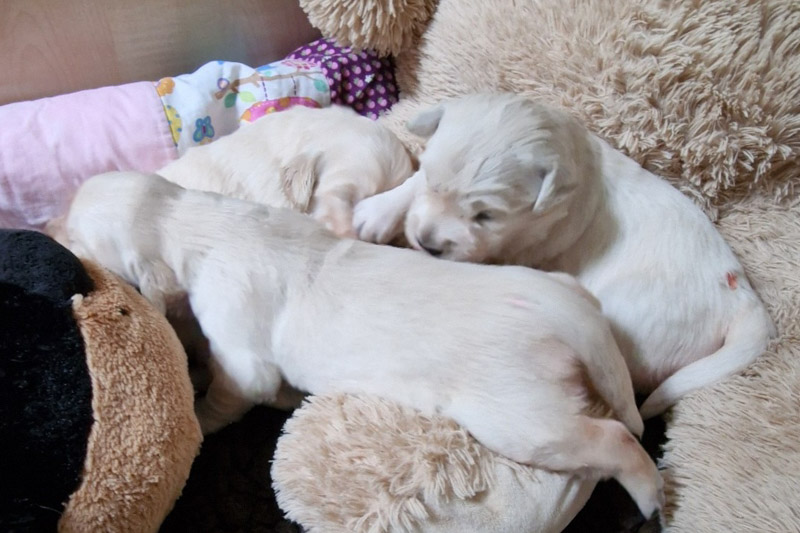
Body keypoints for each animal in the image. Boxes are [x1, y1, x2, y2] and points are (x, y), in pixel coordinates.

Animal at [63, 171, 663, 517]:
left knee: (613, 438)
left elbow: (228, 390)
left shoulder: (240, 354)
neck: (194, 219)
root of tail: (570, 315)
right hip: (559, 312)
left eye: (78, 233)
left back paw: (651, 493)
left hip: (523, 417)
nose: (51, 230)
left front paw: (198, 408)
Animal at [353, 93, 775, 419]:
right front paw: (378, 211)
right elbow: (411, 189)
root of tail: (740, 294)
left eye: (486, 216)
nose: (427, 243)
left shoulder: (520, 244)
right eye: (431, 180)